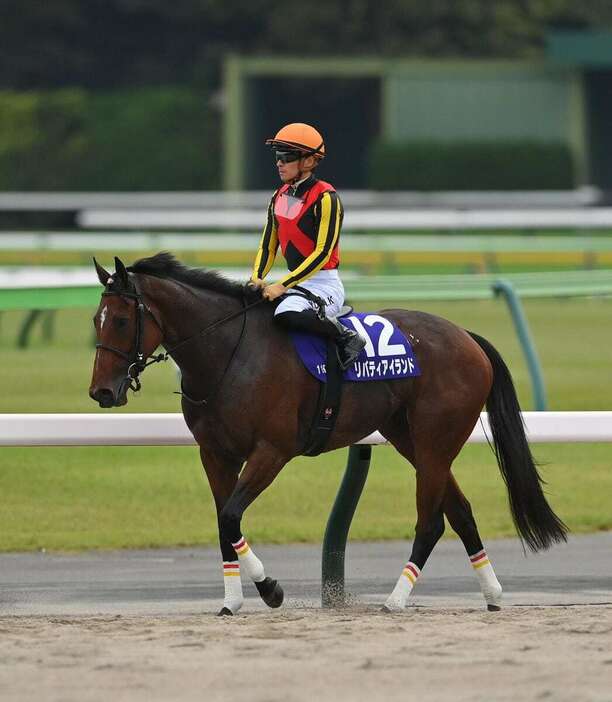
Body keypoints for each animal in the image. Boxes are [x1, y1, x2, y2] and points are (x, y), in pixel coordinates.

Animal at [88, 258, 568, 616]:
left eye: (123, 320)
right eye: (97, 319)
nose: (102, 391)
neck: (230, 353)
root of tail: (466, 336)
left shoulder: (272, 451)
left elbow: (231, 515)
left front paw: (271, 590)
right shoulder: (215, 455)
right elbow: (224, 522)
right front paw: (231, 601)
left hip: (435, 440)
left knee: (432, 521)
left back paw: (397, 599)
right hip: (411, 438)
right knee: (462, 511)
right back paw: (492, 594)